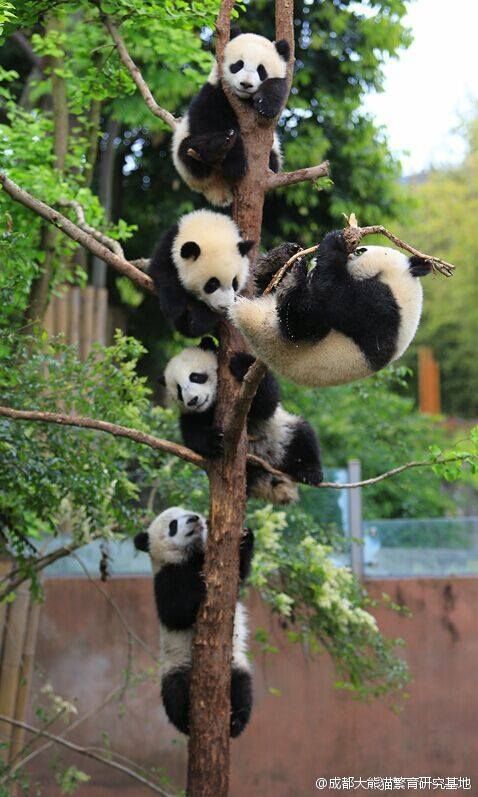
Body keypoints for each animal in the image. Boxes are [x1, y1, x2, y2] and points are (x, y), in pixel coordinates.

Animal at [134, 506, 254, 736]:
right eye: (173, 525)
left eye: (190, 512)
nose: (194, 518)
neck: (191, 556)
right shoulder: (165, 577)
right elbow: (174, 612)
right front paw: (199, 584)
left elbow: (239, 574)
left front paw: (246, 537)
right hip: (176, 666)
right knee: (174, 693)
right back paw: (186, 721)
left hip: (236, 664)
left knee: (243, 689)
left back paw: (235, 722)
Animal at [149, 208, 254, 336]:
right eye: (212, 283)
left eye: (235, 283)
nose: (224, 307)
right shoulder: (169, 245)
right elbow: (161, 271)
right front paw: (173, 305)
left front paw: (202, 319)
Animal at [162, 338, 324, 504]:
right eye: (179, 391)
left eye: (195, 377)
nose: (193, 401)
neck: (211, 405)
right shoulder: (192, 415)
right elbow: (193, 436)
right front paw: (214, 439)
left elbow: (267, 402)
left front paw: (241, 364)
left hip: (282, 432)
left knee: (303, 436)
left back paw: (310, 473)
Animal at [173, 28, 290, 205]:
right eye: (238, 64)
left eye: (261, 70)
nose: (246, 84)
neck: (242, 100)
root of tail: (217, 190)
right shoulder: (214, 92)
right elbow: (206, 120)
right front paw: (235, 162)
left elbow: (278, 86)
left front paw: (266, 104)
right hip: (186, 160)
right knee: (190, 152)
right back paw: (220, 144)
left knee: (273, 161)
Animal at [229, 229, 434, 388]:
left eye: (361, 251)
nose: (354, 250)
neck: (402, 285)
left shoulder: (383, 307)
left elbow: (337, 294)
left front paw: (334, 243)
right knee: (268, 286)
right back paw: (276, 261)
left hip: (303, 339)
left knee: (300, 322)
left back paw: (293, 279)